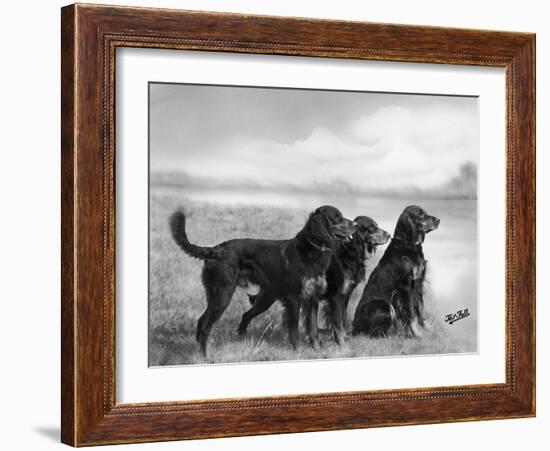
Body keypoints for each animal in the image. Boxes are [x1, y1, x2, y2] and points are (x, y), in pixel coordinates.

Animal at [170, 206, 356, 356]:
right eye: (337, 218)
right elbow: (294, 329)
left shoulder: (312, 298)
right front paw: (297, 351)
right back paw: (205, 356)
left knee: (225, 318)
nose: (355, 224)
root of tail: (215, 250)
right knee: (205, 325)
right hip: (222, 294)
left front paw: (317, 350)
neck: (310, 251)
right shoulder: (294, 298)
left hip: (258, 297)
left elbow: (313, 328)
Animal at [356, 207, 442, 338]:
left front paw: (428, 329)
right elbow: (411, 314)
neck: (409, 245)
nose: (438, 220)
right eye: (421, 214)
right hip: (385, 305)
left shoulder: (418, 283)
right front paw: (417, 334)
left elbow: (421, 310)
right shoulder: (407, 286)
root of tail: (354, 327)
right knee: (374, 333)